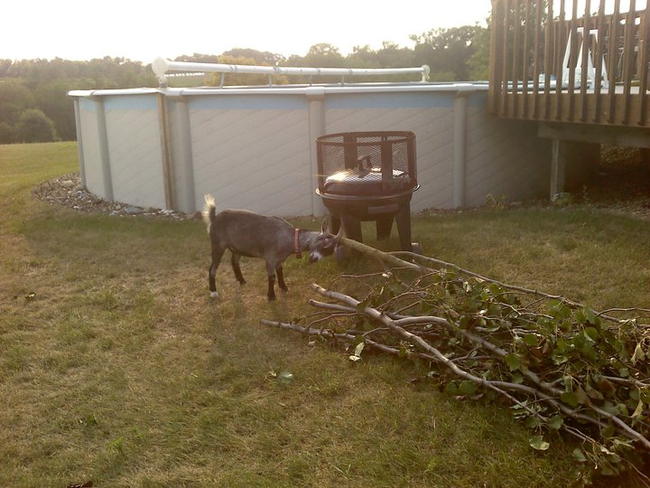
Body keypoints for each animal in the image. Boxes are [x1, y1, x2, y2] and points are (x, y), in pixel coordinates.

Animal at [202, 194, 340, 302]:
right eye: (325, 243)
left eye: (329, 251)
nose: (315, 258)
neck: (289, 238)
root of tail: (214, 218)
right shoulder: (270, 258)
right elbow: (271, 276)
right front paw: (271, 296)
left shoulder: (279, 259)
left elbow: (280, 271)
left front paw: (284, 287)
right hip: (218, 244)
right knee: (212, 268)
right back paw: (213, 292)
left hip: (236, 247)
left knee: (234, 262)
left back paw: (242, 281)